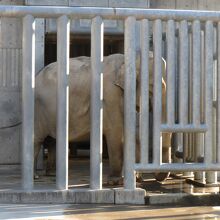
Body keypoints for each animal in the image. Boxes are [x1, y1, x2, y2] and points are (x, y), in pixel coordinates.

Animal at [34, 52, 172, 182]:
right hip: (39, 109)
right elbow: (115, 131)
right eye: (151, 87)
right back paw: (36, 176)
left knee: (52, 140)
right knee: (37, 139)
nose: (156, 177)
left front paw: (135, 178)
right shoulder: (110, 94)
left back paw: (52, 174)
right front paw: (115, 181)